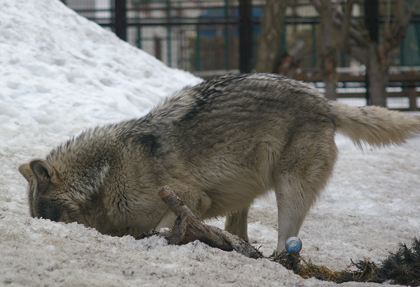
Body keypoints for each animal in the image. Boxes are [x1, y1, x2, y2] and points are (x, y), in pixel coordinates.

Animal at [18, 73, 420, 254]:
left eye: (49, 216)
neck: (105, 173)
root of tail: (325, 102)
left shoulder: (190, 199)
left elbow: (166, 225)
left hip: (289, 192)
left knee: (287, 241)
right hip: (244, 196)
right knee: (241, 235)